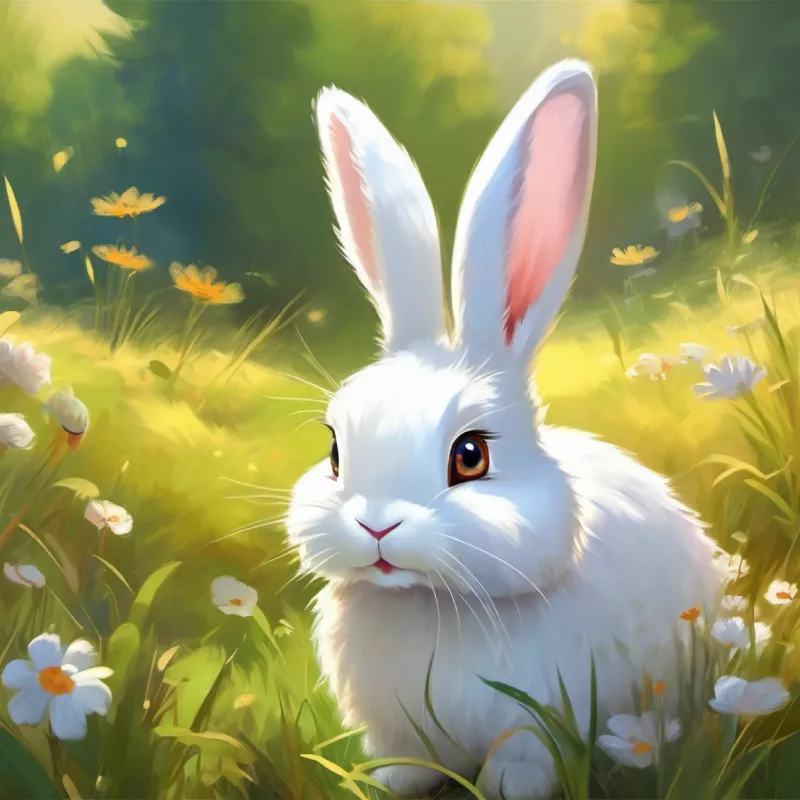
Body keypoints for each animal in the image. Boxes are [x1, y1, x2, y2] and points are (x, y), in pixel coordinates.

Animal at [286, 59, 725, 800]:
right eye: (335, 450)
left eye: (470, 456)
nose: (377, 526)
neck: (430, 602)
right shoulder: (398, 728)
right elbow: (407, 761)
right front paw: (392, 783)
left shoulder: (538, 721)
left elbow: (522, 761)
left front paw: (505, 789)